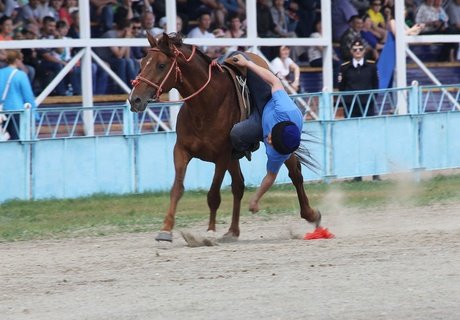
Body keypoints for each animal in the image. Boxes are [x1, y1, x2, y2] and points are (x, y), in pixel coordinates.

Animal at [126, 33, 320, 242]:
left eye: (161, 65)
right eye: (142, 63)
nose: (135, 99)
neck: (205, 105)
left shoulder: (222, 156)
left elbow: (213, 195)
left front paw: (210, 232)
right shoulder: (181, 150)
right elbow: (177, 189)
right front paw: (166, 230)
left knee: (295, 174)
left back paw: (310, 214)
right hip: (234, 157)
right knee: (239, 185)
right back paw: (233, 231)